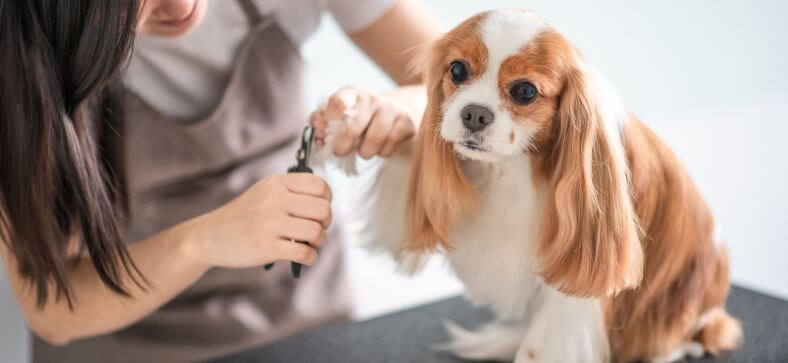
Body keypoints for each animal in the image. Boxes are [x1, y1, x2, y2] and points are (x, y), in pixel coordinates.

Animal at [312, 8, 740, 363]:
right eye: (457, 71)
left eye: (524, 91)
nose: (474, 114)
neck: (514, 167)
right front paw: (346, 125)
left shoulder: (575, 286)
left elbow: (541, 345)